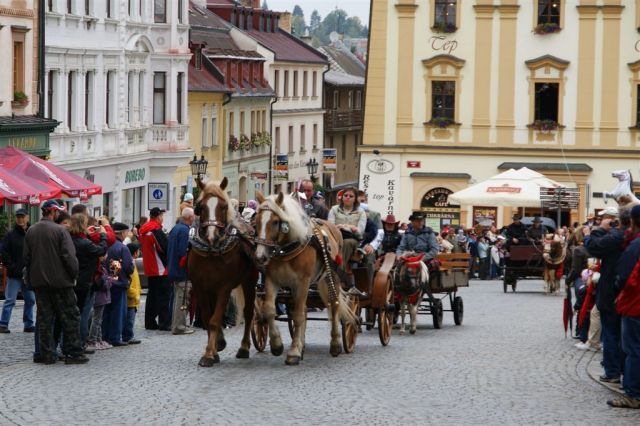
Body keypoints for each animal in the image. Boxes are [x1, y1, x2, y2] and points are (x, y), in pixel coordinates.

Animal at [188, 178, 258, 368]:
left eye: (224, 206)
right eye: (200, 206)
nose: (212, 235)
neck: (212, 252)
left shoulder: (224, 287)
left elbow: (214, 319)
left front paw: (208, 355)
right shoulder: (200, 286)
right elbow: (207, 318)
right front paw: (215, 348)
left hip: (250, 281)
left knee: (249, 312)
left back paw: (244, 348)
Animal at [252, 191, 358, 364]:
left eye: (275, 222)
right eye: (256, 222)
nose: (260, 257)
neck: (286, 250)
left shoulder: (302, 282)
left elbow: (298, 315)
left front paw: (294, 352)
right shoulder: (272, 280)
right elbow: (270, 310)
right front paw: (277, 345)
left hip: (332, 277)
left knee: (334, 305)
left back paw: (335, 344)